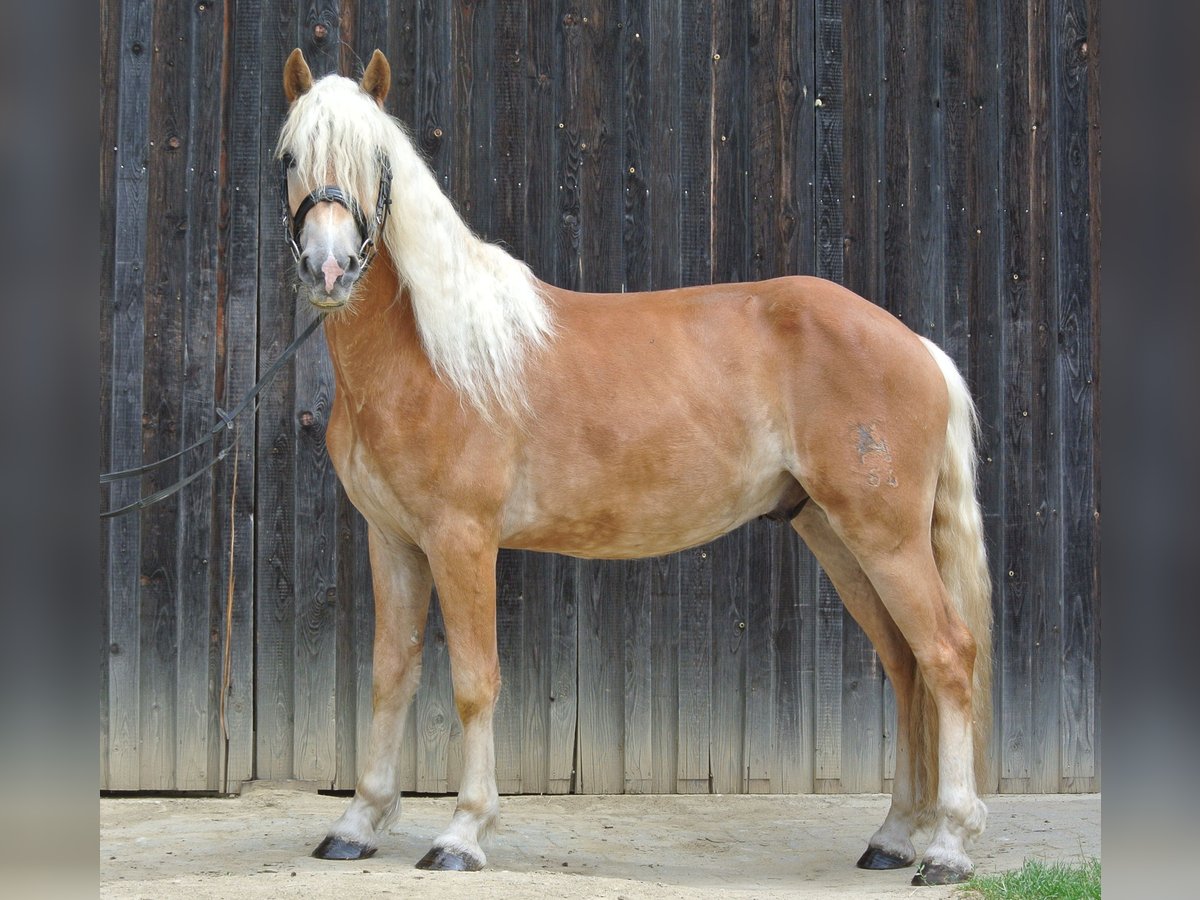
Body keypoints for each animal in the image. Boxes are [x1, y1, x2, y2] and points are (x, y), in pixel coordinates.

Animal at [274, 49, 993, 888]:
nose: (329, 271)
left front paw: (462, 833)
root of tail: (916, 345)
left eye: (377, 162)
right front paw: (358, 822)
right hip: (838, 538)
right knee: (906, 665)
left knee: (946, 657)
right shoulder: (393, 542)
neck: (435, 353)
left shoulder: (462, 541)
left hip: (886, 538)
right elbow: (392, 673)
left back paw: (947, 847)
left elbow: (475, 682)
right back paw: (894, 835)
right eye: (291, 157)